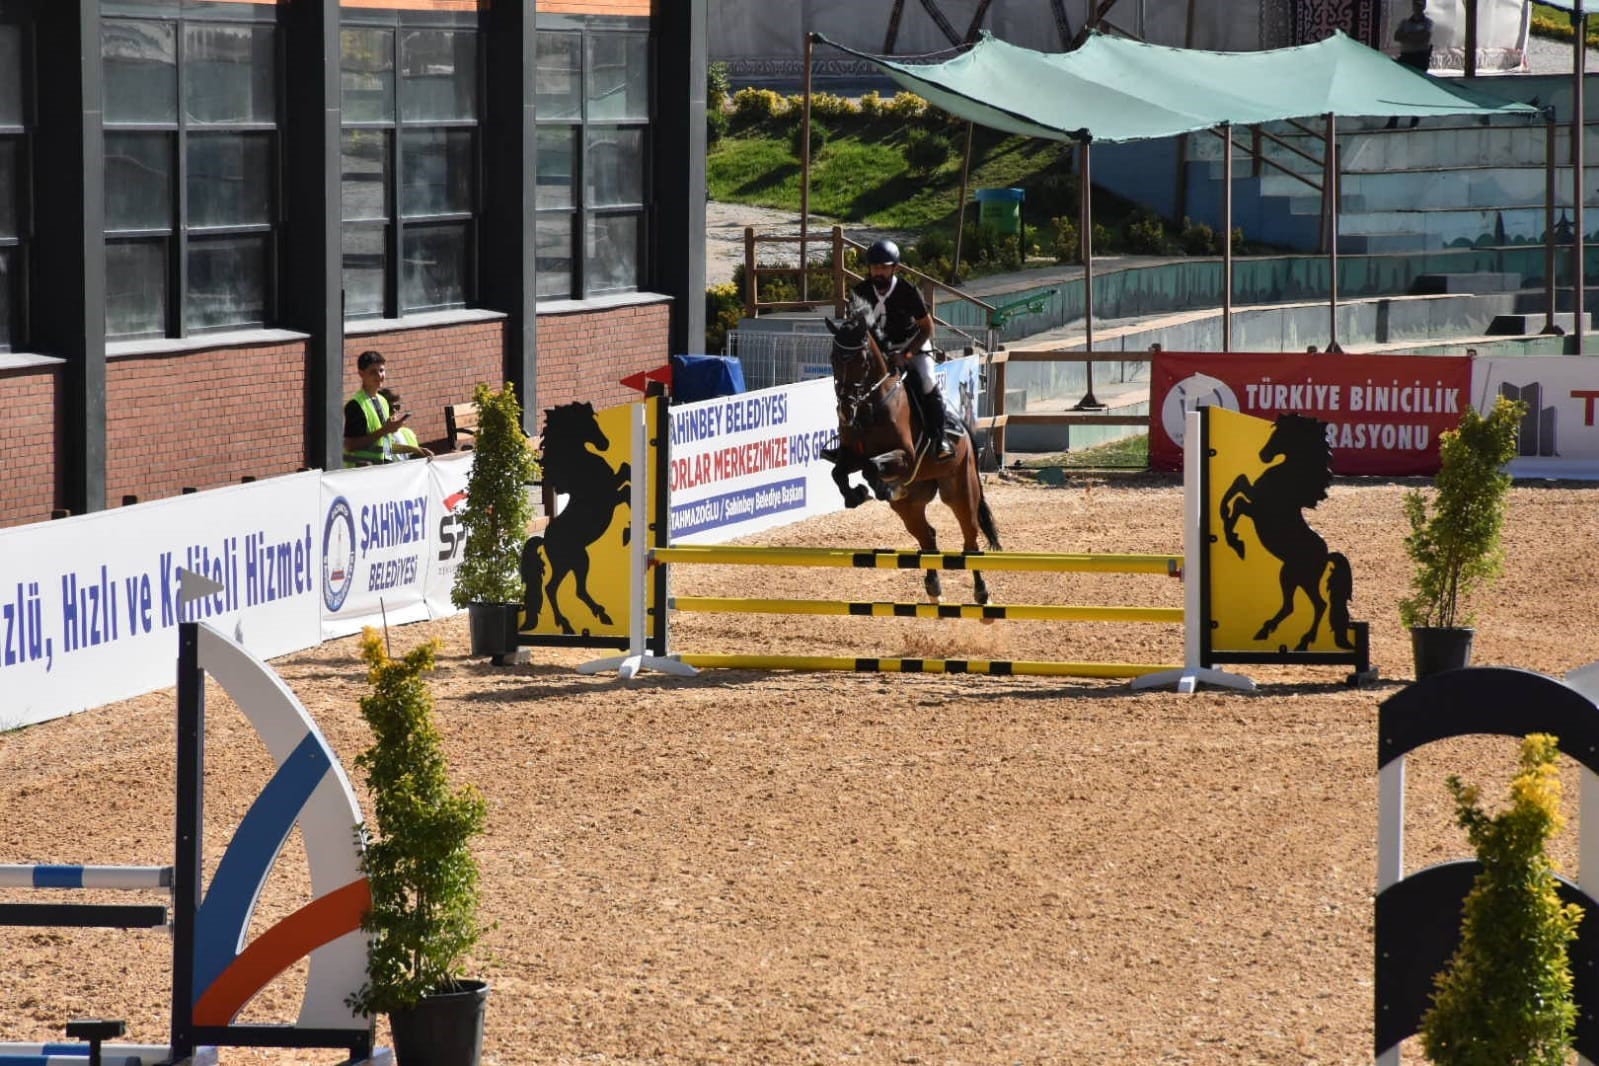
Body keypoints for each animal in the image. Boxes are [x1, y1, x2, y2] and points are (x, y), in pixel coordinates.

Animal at [518, 399, 630, 632]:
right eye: (587, 424)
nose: (605, 443)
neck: (580, 465)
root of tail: (545, 540)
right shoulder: (611, 495)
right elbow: (628, 480)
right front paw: (628, 532)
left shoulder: (613, 494)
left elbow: (627, 477)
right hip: (576, 560)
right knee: (555, 588)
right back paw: (571, 623)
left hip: (573, 562)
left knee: (566, 589)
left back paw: (595, 616)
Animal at [825, 295, 997, 604]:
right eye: (833, 358)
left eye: (862, 360)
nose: (845, 410)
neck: (870, 405)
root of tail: (964, 430)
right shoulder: (850, 455)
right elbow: (839, 472)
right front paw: (856, 495)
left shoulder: (906, 456)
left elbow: (871, 465)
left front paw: (876, 487)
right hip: (911, 505)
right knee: (927, 537)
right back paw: (934, 590)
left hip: (960, 490)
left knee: (970, 539)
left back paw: (982, 593)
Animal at [1221, 415, 1349, 652]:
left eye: (1281, 435)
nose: (1263, 455)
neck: (1289, 480)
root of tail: (1326, 555)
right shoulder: (1254, 503)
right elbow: (1239, 485)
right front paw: (1233, 535)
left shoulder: (1255, 508)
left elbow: (1238, 497)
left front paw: (1235, 539)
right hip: (1294, 576)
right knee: (1298, 605)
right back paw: (1270, 631)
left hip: (1295, 576)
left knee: (1316, 605)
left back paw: (1300, 640)